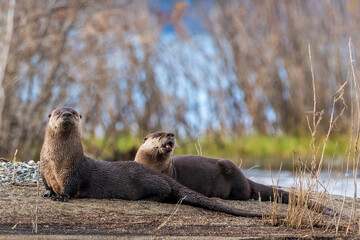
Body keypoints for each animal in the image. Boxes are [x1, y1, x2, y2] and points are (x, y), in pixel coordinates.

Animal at [39, 108, 262, 218]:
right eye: (58, 112)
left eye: (74, 113)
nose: (67, 114)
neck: (58, 161)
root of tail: (156, 173)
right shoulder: (45, 170)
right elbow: (47, 184)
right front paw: (49, 193)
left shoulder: (75, 171)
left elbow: (70, 186)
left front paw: (61, 197)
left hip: (148, 182)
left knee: (164, 191)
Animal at [134, 131, 336, 216]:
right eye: (159, 134)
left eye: (168, 133)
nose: (171, 133)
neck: (155, 166)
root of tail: (245, 178)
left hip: (231, 172)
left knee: (247, 194)